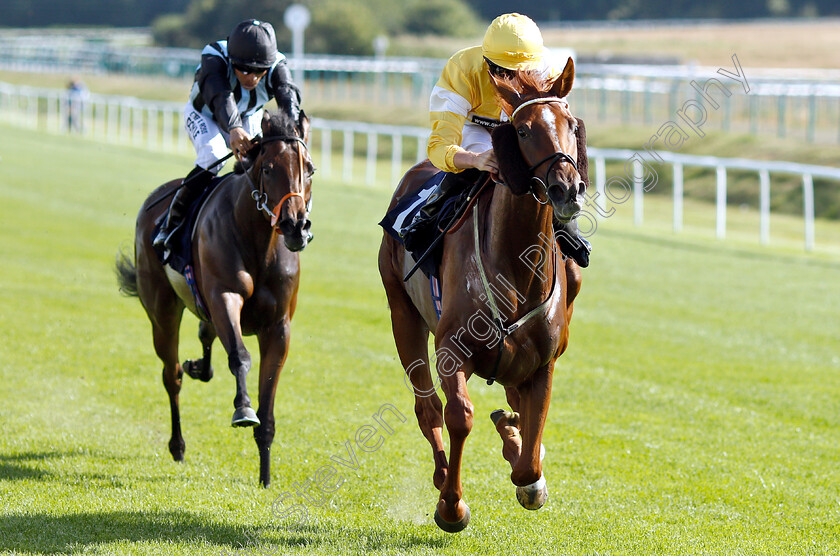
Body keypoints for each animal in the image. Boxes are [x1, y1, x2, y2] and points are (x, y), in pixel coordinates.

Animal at [116, 108, 314, 486]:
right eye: (269, 168)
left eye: (308, 169)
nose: (296, 226)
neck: (258, 241)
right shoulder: (225, 297)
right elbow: (239, 356)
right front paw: (243, 408)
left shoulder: (278, 326)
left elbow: (268, 399)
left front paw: (265, 476)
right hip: (162, 310)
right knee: (172, 374)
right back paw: (177, 444)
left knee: (204, 337)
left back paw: (199, 366)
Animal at [378, 58, 588, 532]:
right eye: (523, 130)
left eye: (570, 124)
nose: (566, 188)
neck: (515, 265)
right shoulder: (451, 350)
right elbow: (459, 416)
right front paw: (451, 506)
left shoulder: (544, 362)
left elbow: (531, 454)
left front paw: (526, 466)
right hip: (403, 315)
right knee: (427, 407)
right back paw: (443, 474)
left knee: (514, 407)